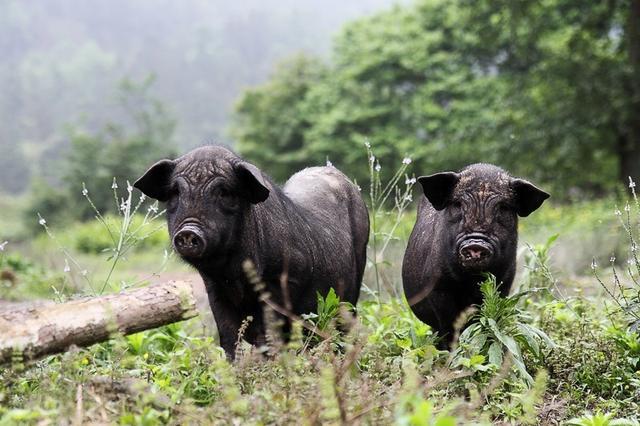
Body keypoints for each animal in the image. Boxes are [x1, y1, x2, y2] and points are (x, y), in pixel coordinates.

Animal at [134, 146, 370, 360]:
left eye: (224, 192)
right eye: (176, 192)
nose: (188, 231)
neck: (233, 274)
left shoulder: (282, 282)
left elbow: (268, 334)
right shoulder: (215, 290)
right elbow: (228, 335)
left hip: (354, 285)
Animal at [402, 165, 548, 348]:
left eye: (503, 208)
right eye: (458, 204)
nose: (476, 244)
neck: (469, 281)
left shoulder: (504, 284)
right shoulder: (437, 286)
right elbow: (449, 324)